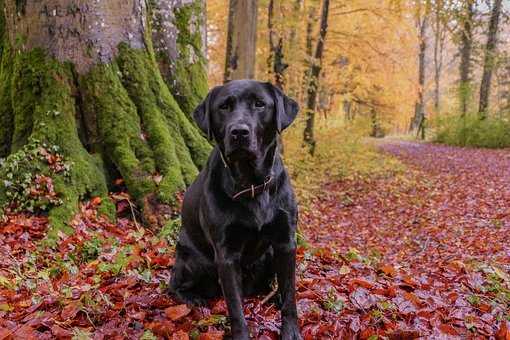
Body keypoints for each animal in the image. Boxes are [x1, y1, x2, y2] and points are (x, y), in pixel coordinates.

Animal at [169, 80, 300, 340]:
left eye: (260, 104)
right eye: (224, 107)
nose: (239, 132)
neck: (251, 184)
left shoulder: (285, 243)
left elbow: (290, 293)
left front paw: (291, 331)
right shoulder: (226, 254)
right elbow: (235, 308)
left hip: (270, 254)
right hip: (194, 260)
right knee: (174, 285)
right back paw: (192, 299)